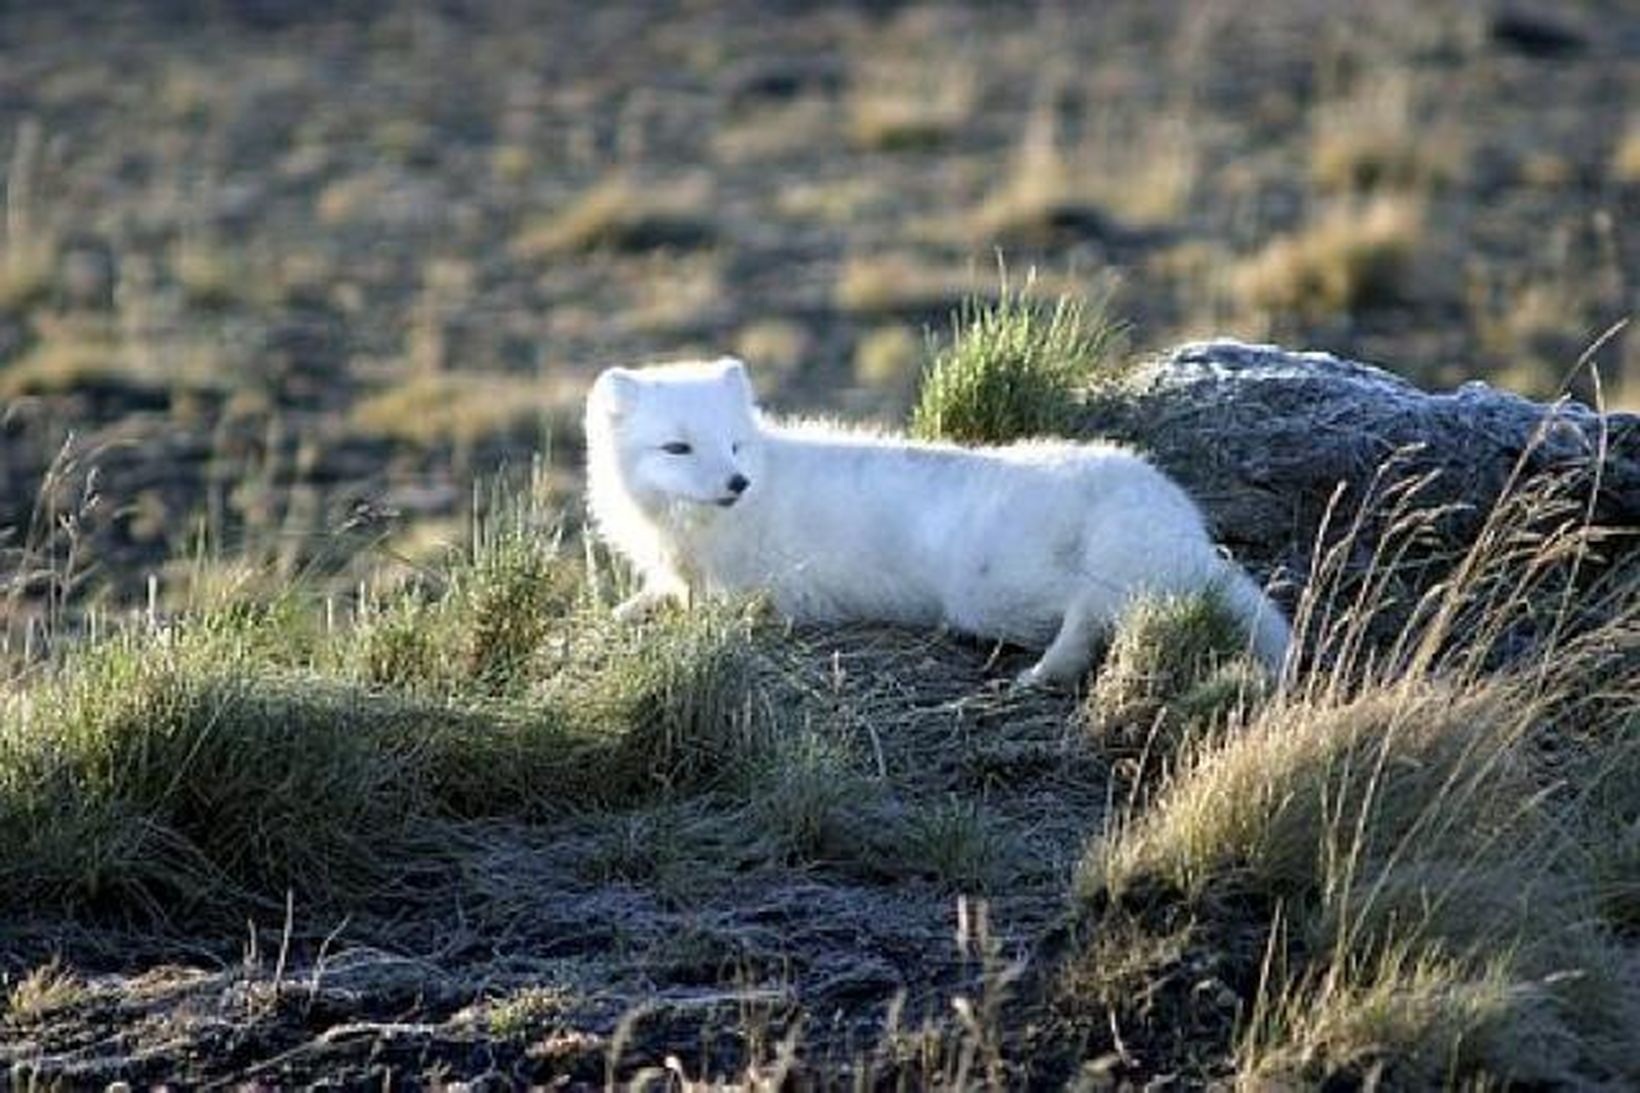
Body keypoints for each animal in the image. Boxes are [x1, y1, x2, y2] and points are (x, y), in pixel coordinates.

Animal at [583, 356, 1285, 682]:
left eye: (733, 445)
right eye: (678, 447)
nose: (736, 482)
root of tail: (1168, 511)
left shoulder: (767, 592)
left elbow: (715, 609)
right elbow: (656, 596)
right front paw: (628, 609)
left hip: (992, 590)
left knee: (1098, 614)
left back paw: (1043, 672)